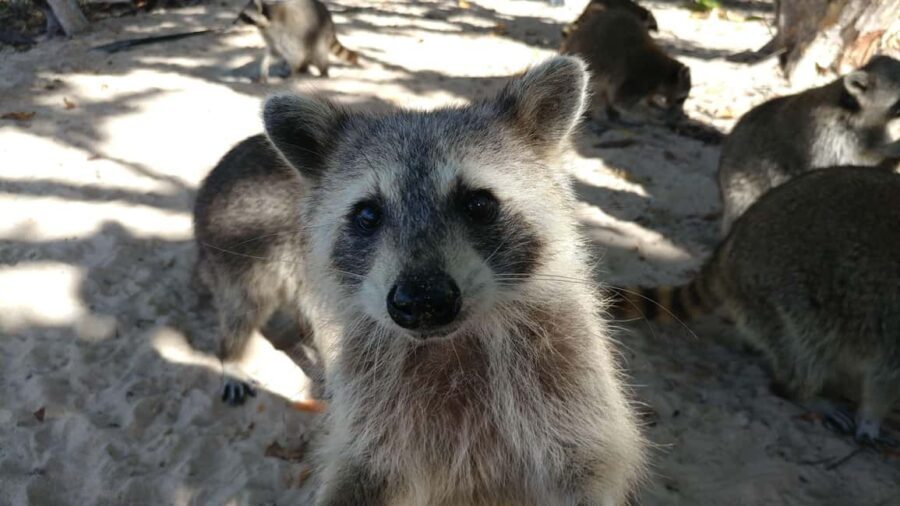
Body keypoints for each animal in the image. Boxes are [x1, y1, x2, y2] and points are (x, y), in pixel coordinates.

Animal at [195, 56, 646, 504]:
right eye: (367, 215)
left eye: (479, 204)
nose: (422, 301)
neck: (452, 344)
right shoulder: (374, 405)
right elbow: (363, 469)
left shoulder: (567, 373)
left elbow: (588, 461)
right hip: (244, 247)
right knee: (243, 309)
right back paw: (232, 355)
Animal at [560, 8, 690, 124]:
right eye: (681, 99)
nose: (682, 115)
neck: (665, 72)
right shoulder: (638, 77)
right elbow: (622, 103)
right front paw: (647, 115)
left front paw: (653, 103)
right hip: (593, 62)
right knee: (596, 88)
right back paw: (600, 113)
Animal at [615, 167, 900, 442]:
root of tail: (734, 237)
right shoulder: (892, 320)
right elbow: (884, 377)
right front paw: (871, 418)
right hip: (775, 290)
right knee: (804, 349)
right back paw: (803, 392)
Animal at [718, 55, 900, 232]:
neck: (849, 106)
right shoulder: (827, 135)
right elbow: (845, 162)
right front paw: (890, 149)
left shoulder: (873, 131)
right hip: (744, 183)